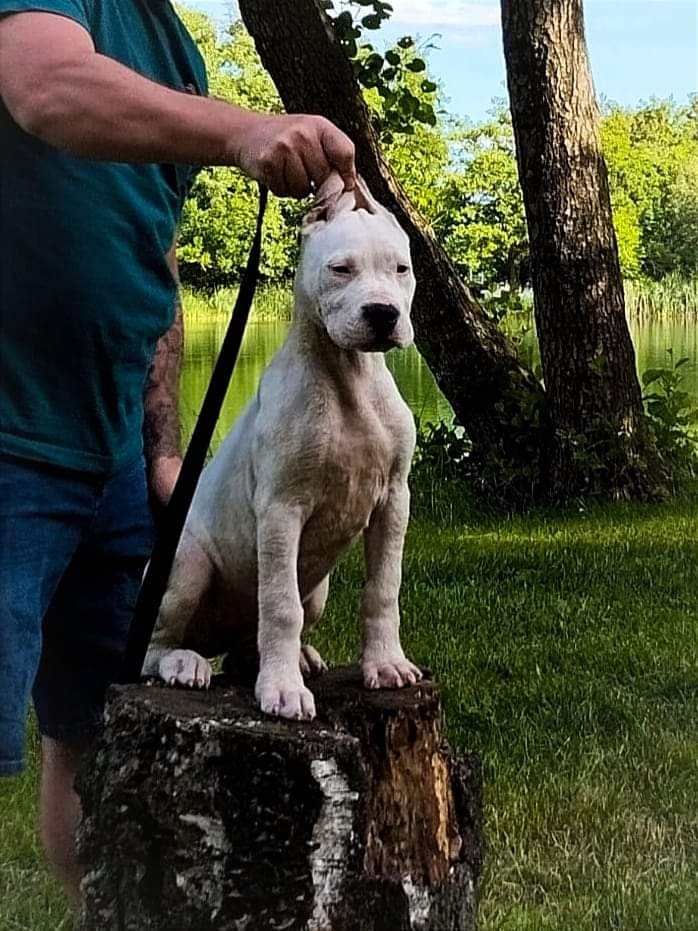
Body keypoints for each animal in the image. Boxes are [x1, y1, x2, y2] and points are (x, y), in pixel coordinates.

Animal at [143, 177, 418, 720]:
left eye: (401, 269)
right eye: (340, 269)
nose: (383, 313)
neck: (347, 379)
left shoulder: (394, 499)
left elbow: (383, 589)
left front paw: (386, 664)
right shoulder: (280, 510)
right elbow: (279, 605)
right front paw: (283, 691)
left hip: (319, 588)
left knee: (248, 645)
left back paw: (295, 658)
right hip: (184, 565)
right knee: (155, 648)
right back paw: (184, 664)